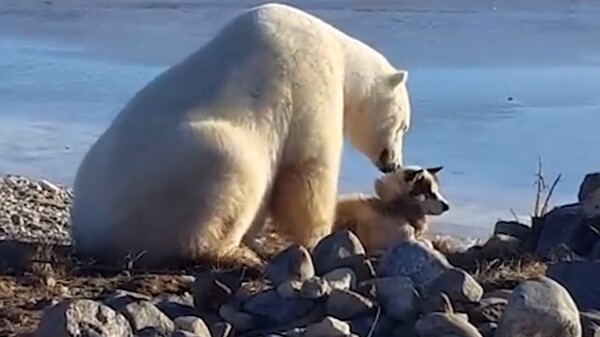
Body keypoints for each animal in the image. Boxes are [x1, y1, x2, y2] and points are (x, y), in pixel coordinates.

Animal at [68, 1, 410, 266]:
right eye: (404, 125)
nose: (394, 164)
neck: (339, 51)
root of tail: (90, 230)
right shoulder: (308, 86)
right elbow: (307, 170)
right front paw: (320, 236)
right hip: (171, 179)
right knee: (233, 168)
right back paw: (234, 253)